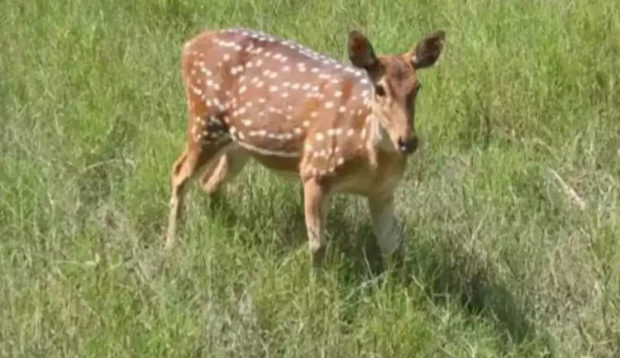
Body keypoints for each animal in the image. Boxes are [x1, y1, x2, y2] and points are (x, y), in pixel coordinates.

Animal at [166, 27, 446, 262]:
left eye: (417, 87)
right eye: (380, 89)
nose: (408, 141)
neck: (371, 158)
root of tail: (188, 46)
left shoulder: (383, 190)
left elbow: (392, 249)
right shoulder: (315, 170)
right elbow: (318, 246)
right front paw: (318, 288)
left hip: (238, 144)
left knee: (209, 182)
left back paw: (225, 225)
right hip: (204, 121)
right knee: (179, 172)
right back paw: (171, 246)